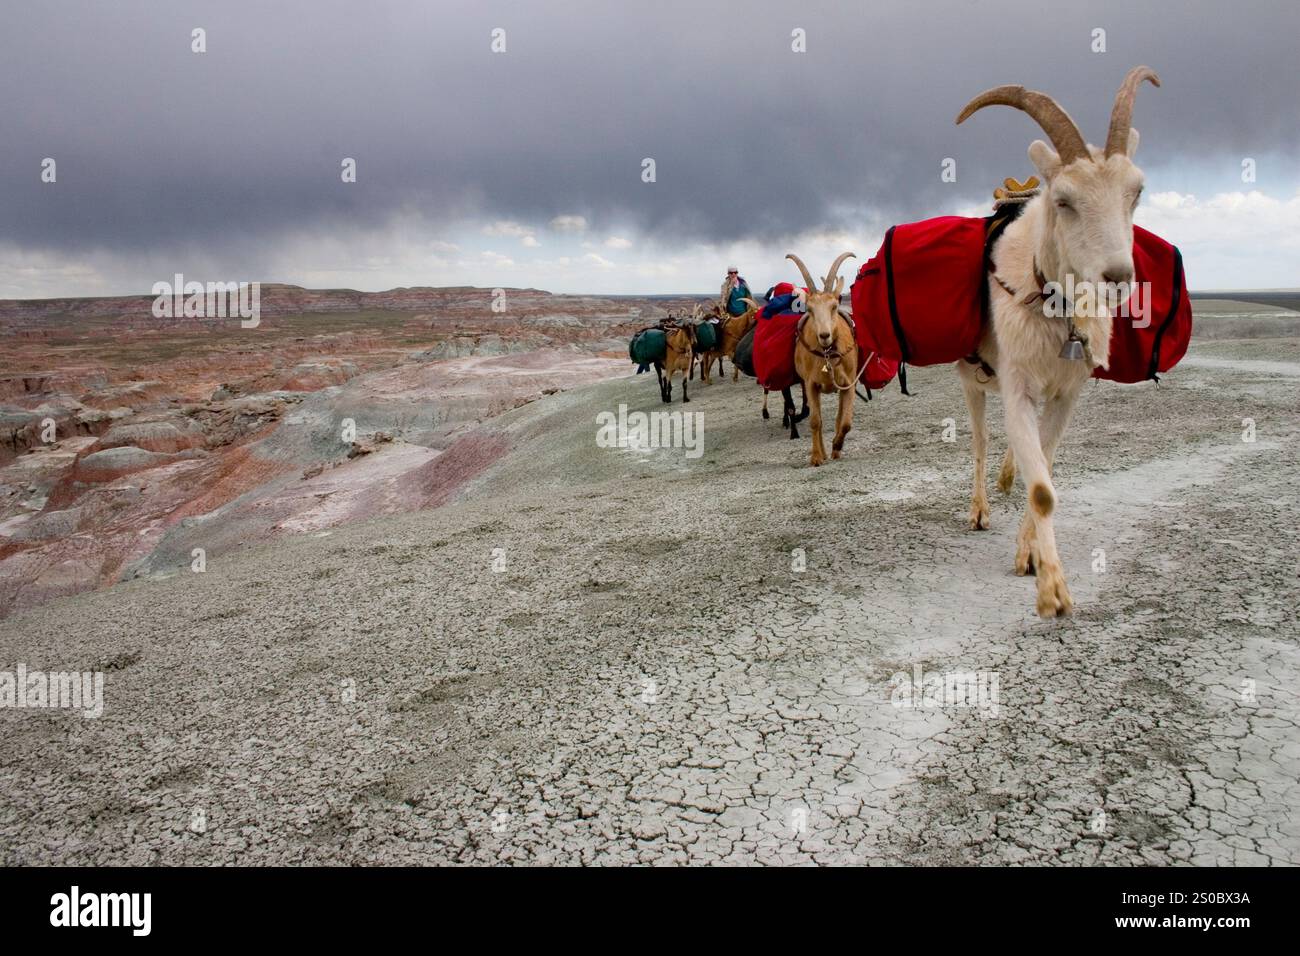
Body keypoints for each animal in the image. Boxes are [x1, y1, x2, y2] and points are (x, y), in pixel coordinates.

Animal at [786, 253, 859, 466]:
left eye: (834, 306)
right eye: (809, 309)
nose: (824, 335)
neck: (828, 356)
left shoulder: (849, 384)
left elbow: (845, 422)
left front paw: (837, 446)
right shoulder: (811, 384)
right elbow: (815, 421)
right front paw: (817, 457)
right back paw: (823, 453)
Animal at [954, 66, 1159, 617]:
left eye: (1136, 193)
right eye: (1063, 200)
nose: (1118, 278)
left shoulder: (1067, 394)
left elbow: (1042, 470)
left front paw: (1029, 558)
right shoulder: (1018, 382)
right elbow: (1042, 488)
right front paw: (1053, 593)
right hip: (972, 380)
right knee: (981, 440)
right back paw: (980, 508)